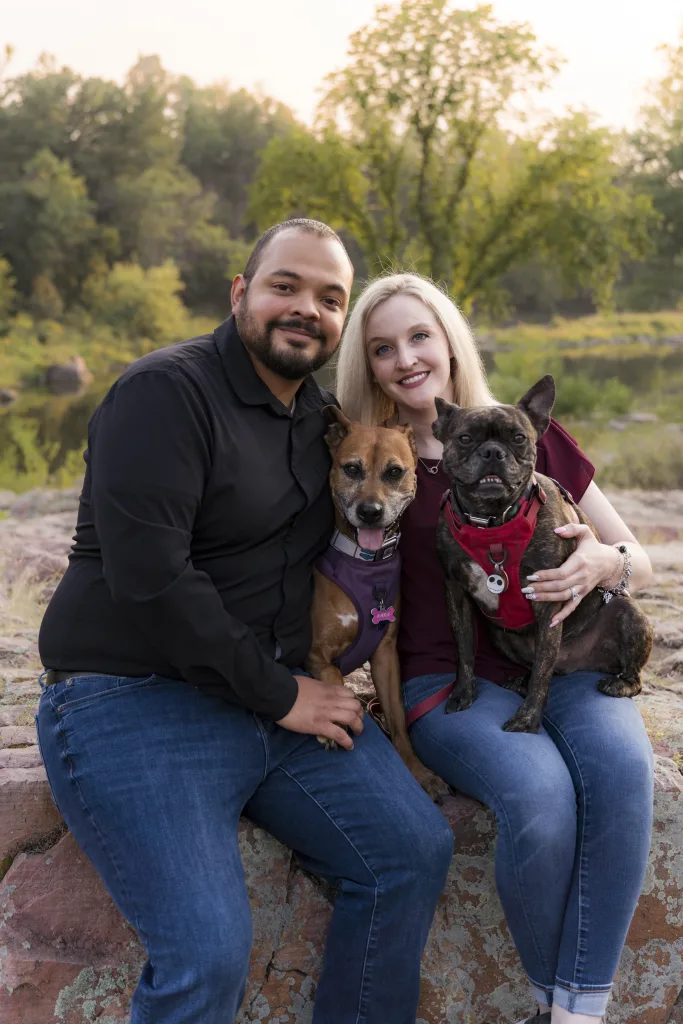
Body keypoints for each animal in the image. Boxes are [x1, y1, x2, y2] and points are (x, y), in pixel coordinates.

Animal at [436, 376, 655, 737]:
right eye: (465, 438)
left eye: (518, 438)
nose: (492, 451)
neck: (493, 522)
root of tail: (573, 664)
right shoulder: (456, 593)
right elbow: (464, 650)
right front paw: (463, 694)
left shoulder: (549, 601)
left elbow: (542, 673)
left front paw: (527, 720)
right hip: (501, 636)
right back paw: (521, 681)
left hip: (630, 615)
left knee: (625, 677)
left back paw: (617, 683)